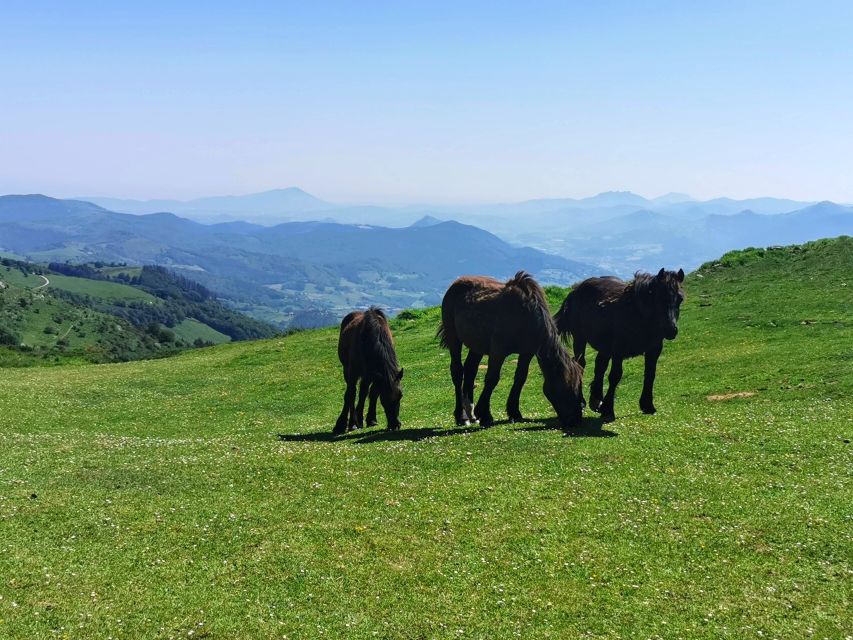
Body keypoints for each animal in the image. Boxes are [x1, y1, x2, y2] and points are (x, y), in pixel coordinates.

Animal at [332, 306, 402, 436]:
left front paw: (371, 420)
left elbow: (372, 393)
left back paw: (359, 419)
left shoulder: (375, 374)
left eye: (400, 396)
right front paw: (342, 424)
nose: (395, 424)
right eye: (384, 399)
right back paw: (353, 423)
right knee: (353, 393)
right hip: (348, 370)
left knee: (363, 392)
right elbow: (350, 394)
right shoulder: (353, 372)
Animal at [436, 272, 584, 428]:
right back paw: (462, 416)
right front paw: (485, 414)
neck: (525, 315)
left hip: (477, 346)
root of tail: (456, 283)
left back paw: (471, 413)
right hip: (454, 338)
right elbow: (492, 379)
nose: (575, 420)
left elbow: (520, 378)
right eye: (568, 388)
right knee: (457, 372)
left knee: (470, 369)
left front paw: (514, 412)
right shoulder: (498, 352)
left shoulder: (527, 353)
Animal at [552, 268, 684, 422]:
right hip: (580, 338)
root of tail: (576, 290)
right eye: (659, 297)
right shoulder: (618, 351)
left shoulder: (653, 351)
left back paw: (596, 400)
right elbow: (615, 376)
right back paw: (582, 402)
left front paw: (648, 405)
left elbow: (650, 374)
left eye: (680, 299)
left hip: (604, 346)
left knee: (600, 365)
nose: (671, 330)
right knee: (581, 364)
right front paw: (608, 409)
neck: (636, 314)